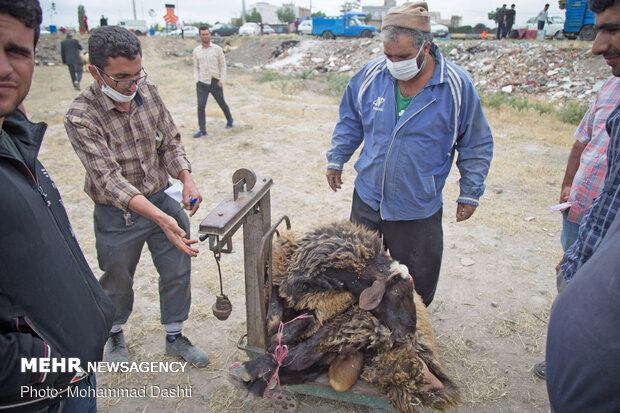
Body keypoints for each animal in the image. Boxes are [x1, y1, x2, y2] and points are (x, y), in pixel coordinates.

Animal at [232, 220, 460, 410]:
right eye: (397, 293)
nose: (408, 333)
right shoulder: (278, 282)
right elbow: (275, 317)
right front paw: (274, 333)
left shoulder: (327, 312)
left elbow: (289, 335)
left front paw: (267, 354)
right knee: (308, 360)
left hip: (358, 324)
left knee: (303, 355)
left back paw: (252, 375)